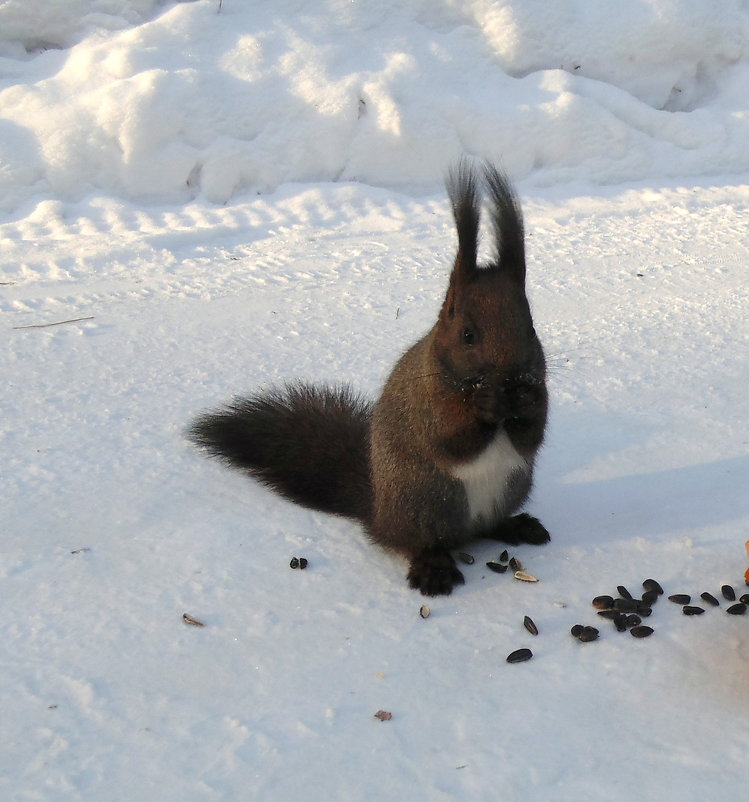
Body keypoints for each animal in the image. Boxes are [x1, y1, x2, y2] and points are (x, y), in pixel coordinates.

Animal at [188, 159, 548, 592]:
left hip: (507, 489)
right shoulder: (427, 401)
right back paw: (434, 567)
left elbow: (531, 437)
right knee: (416, 543)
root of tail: (377, 510)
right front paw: (487, 403)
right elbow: (450, 440)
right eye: (467, 334)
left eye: (532, 328)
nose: (513, 376)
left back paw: (517, 526)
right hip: (424, 501)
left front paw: (527, 402)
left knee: (488, 526)